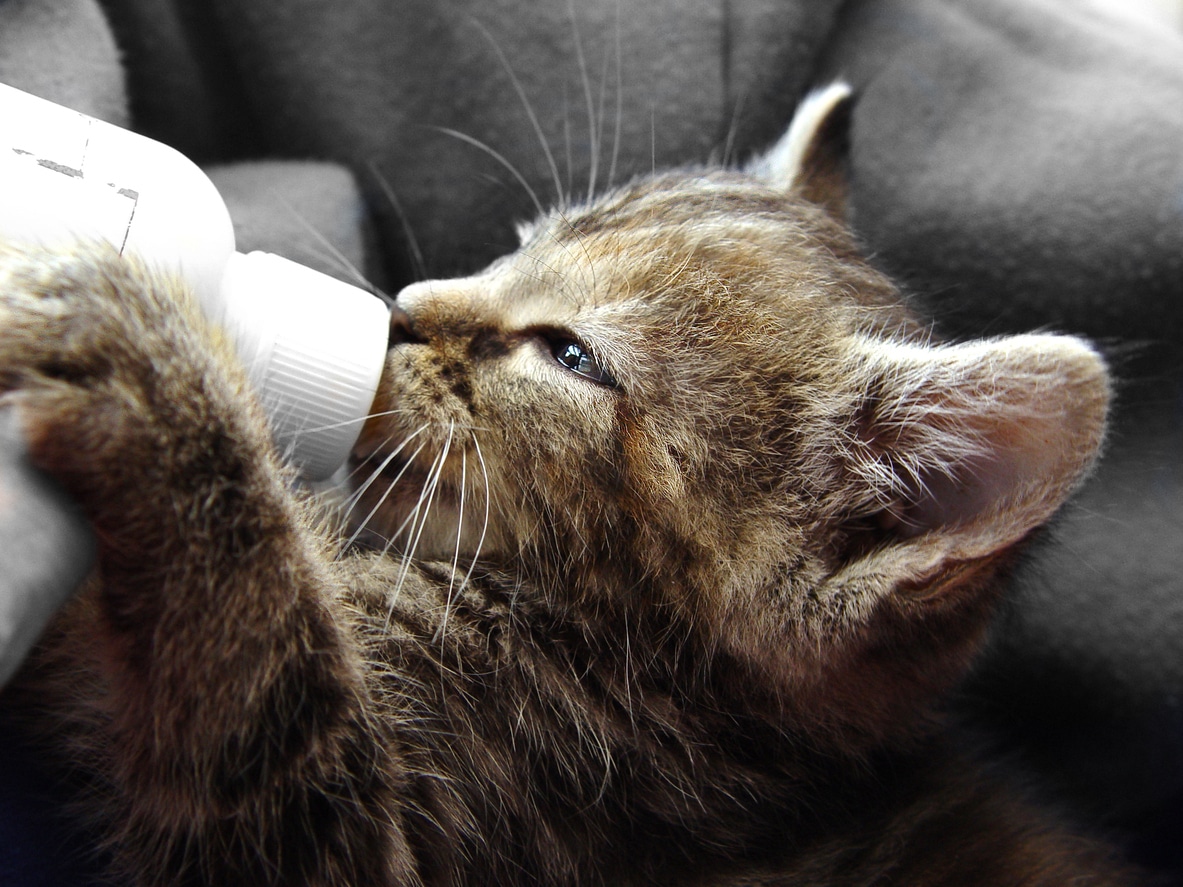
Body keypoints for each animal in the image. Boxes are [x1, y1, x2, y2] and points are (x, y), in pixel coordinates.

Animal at [2, 85, 1135, 887]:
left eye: (571, 356)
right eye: (521, 241)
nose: (403, 304)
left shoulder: (391, 828)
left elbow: (258, 655)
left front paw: (142, 357)